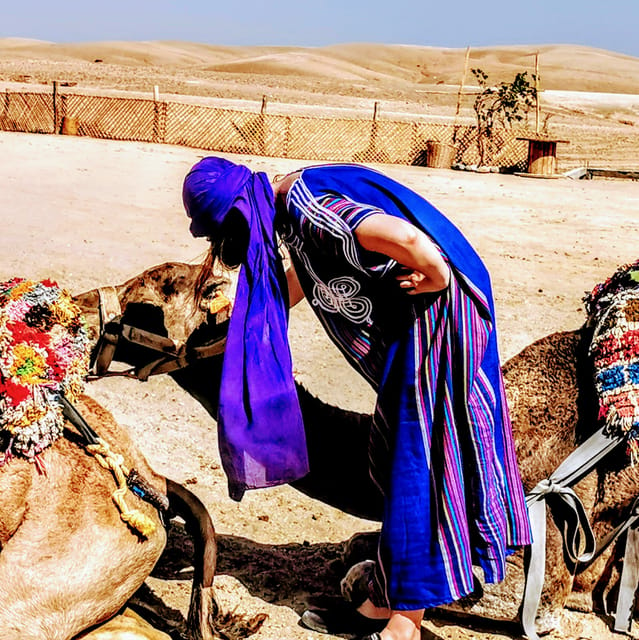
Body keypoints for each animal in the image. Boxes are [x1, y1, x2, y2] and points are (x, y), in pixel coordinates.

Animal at [72, 262, 639, 632]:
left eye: (144, 304)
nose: (80, 310)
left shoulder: (540, 562)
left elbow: (371, 575)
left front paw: (330, 610)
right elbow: (359, 550)